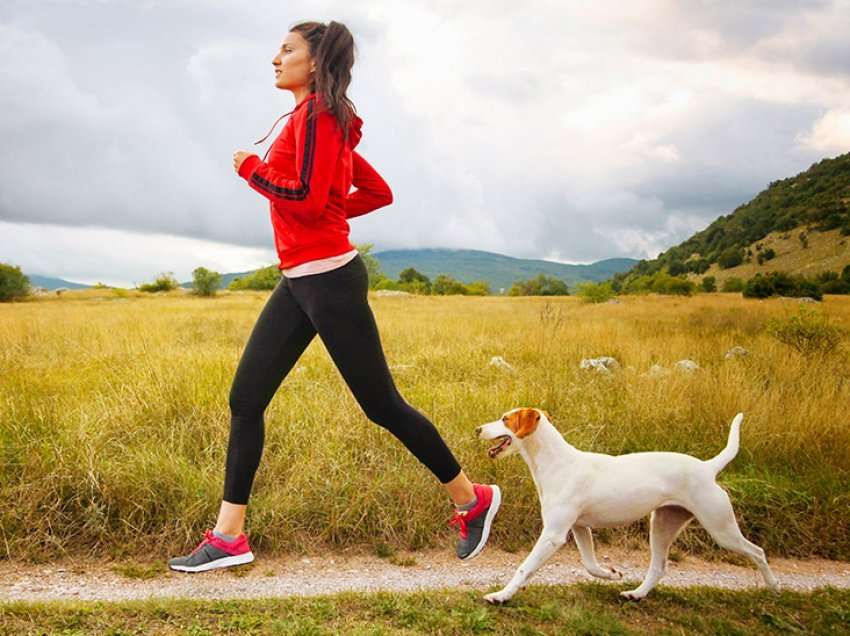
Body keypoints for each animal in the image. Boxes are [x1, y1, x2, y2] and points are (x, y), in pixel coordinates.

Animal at [474, 404, 780, 604]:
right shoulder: (579, 528)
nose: (477, 428)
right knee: (659, 567)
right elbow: (589, 563)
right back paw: (636, 593)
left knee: (758, 552)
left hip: (721, 528)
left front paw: (501, 595)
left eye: (505, 419)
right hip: (662, 525)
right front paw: (611, 573)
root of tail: (707, 468)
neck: (557, 462)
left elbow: (524, 568)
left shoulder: (553, 534)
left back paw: (774, 587)